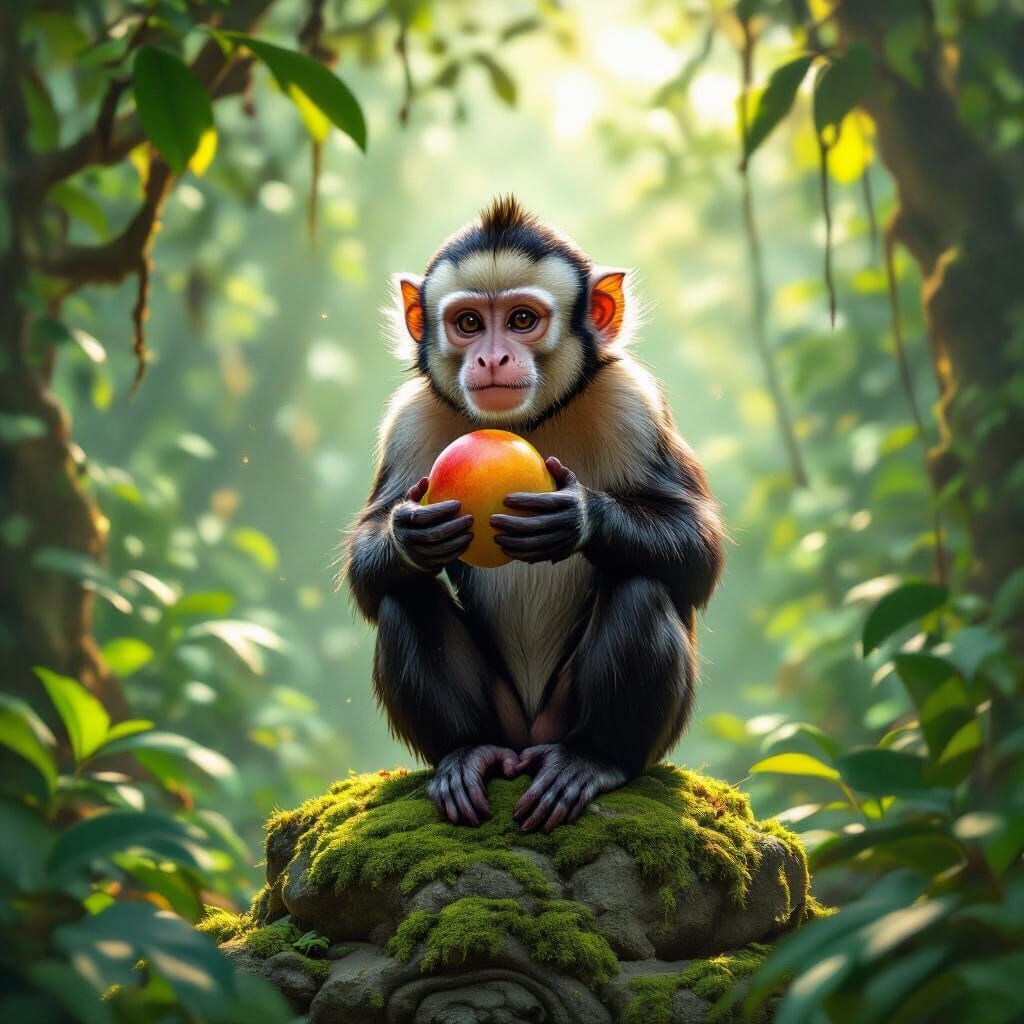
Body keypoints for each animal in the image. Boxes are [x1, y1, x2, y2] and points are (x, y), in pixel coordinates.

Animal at [344, 196, 724, 834]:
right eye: (469, 323)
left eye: (522, 319)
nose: (492, 356)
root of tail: (527, 742)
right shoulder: (410, 419)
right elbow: (368, 575)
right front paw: (410, 535)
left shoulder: (633, 402)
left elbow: (699, 552)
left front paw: (580, 519)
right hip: (504, 720)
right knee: (404, 599)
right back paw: (466, 753)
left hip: (572, 720)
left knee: (642, 588)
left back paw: (592, 759)